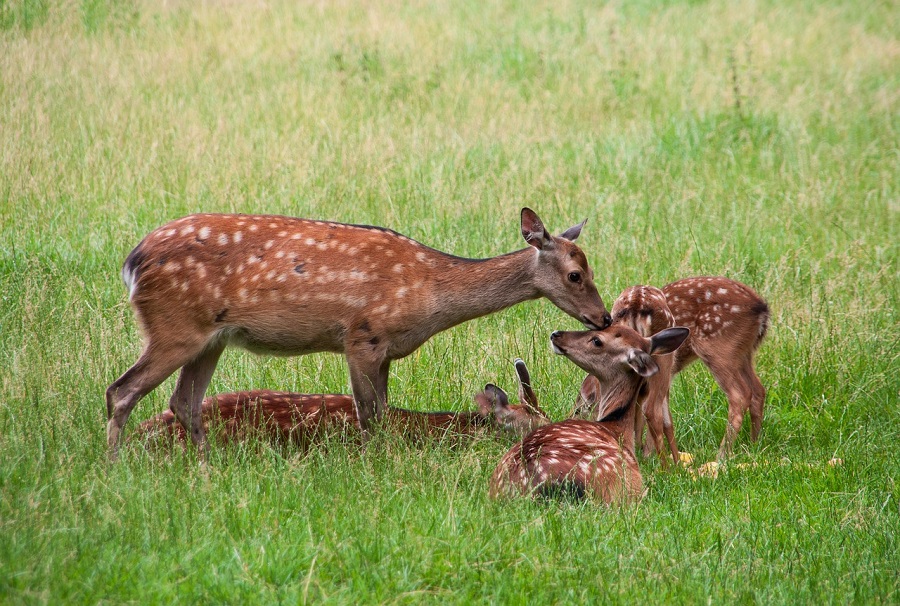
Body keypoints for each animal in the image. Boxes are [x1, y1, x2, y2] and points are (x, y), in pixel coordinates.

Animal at [107, 211, 612, 458]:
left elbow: (383, 413)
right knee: (121, 390)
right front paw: (375, 468)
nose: (604, 318)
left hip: (210, 338)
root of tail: (132, 262)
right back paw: (116, 468)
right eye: (575, 274)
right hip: (174, 326)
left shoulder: (386, 350)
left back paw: (206, 467)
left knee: (183, 402)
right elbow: (369, 416)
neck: (431, 293)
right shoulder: (362, 336)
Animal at [576, 280, 768, 466]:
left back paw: (716, 457)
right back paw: (754, 445)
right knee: (758, 390)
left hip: (716, 350)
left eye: (579, 410)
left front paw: (647, 454)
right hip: (743, 353)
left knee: (739, 395)